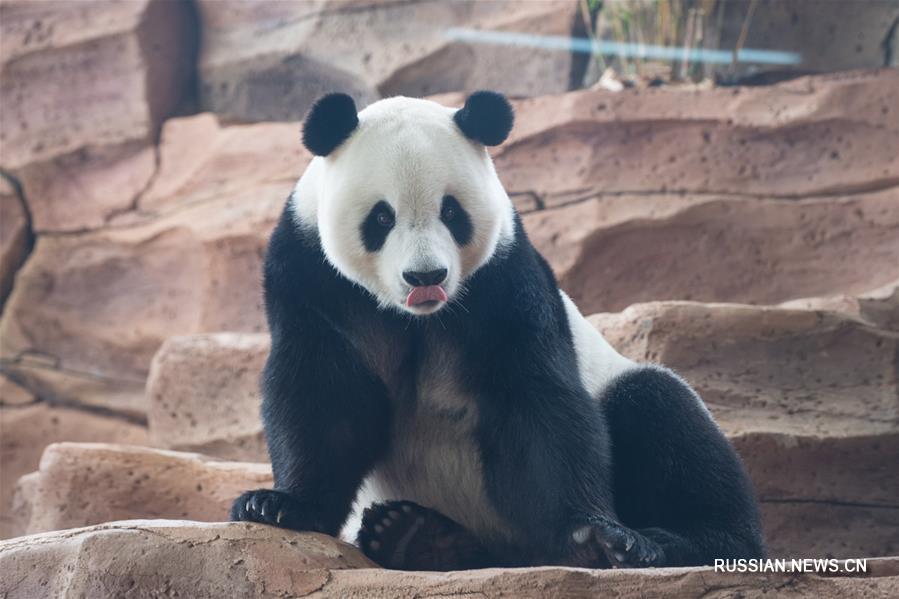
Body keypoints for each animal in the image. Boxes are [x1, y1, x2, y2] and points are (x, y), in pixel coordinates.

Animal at [232, 91, 768, 568]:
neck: (420, 318)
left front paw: (592, 537)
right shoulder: (313, 282)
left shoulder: (506, 283)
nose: (426, 277)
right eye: (381, 217)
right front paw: (277, 505)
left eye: (451, 211)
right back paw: (414, 538)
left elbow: (539, 402)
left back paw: (675, 543)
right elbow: (322, 396)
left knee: (663, 415)